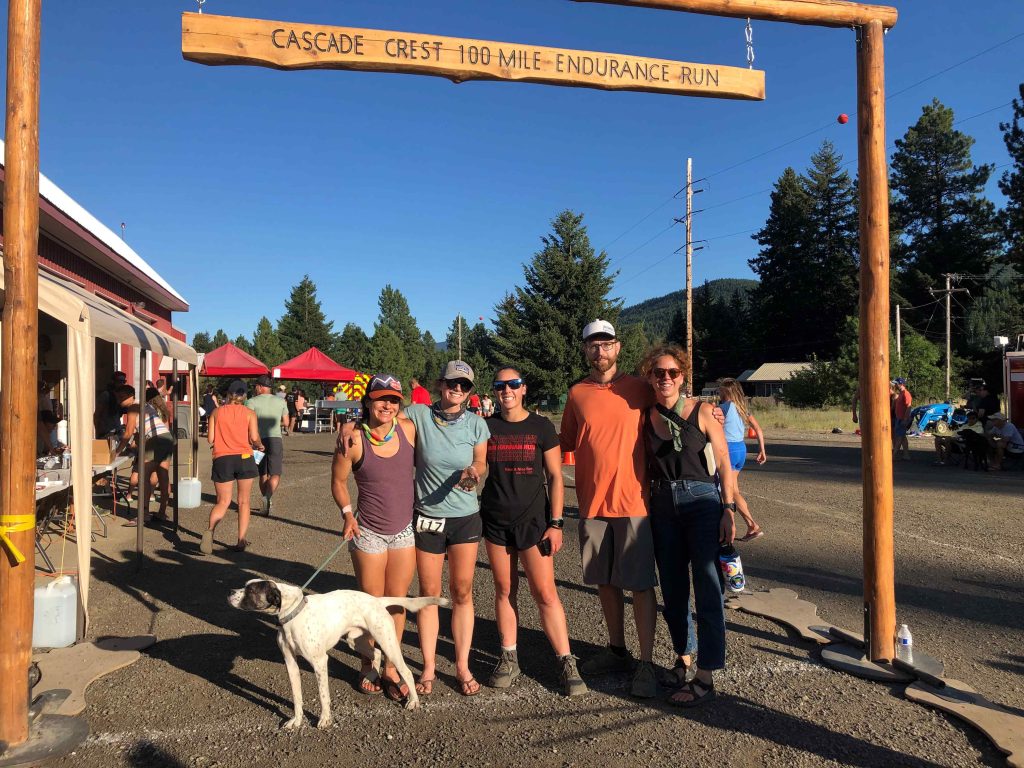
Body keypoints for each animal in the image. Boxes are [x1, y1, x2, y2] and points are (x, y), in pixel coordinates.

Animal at [230, 581, 446, 729]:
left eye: (251, 591)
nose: (231, 592)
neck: (292, 613)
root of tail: (376, 600)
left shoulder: (319, 662)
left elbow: (323, 695)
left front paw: (325, 719)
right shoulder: (290, 663)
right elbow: (297, 697)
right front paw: (296, 721)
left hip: (388, 643)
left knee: (406, 671)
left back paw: (413, 701)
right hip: (355, 640)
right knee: (375, 653)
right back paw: (370, 677)